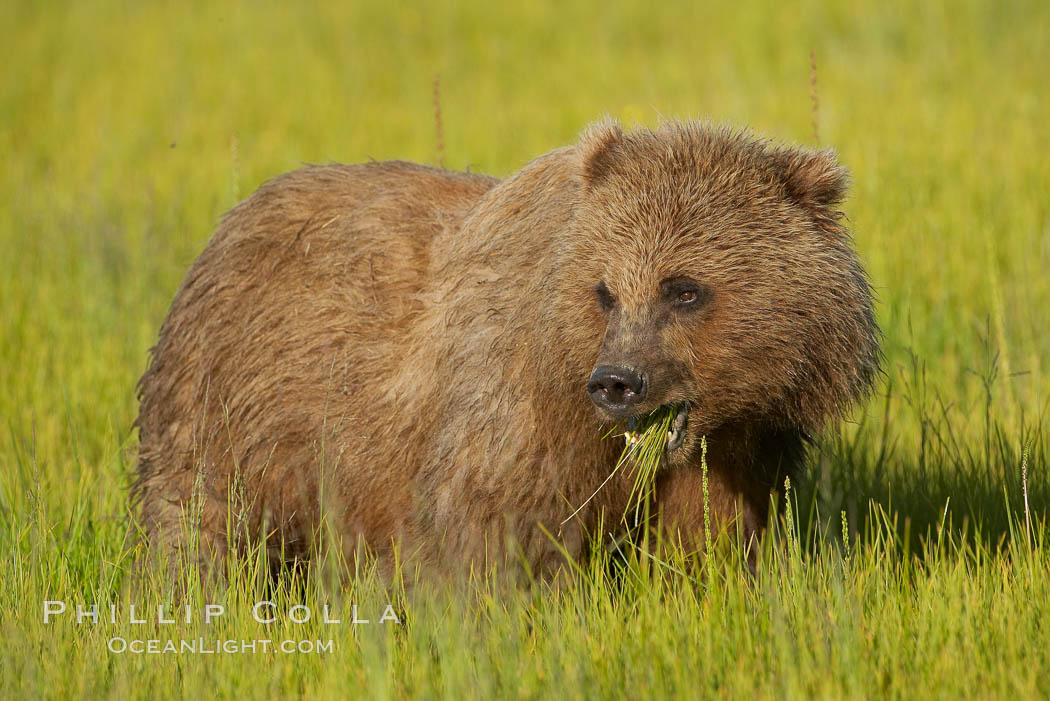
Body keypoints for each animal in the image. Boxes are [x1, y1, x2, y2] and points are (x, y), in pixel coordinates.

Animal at [135, 119, 881, 579]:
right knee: (200, 523)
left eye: (684, 289)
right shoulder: (519, 406)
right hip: (233, 405)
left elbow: (708, 544)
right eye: (604, 290)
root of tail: (228, 221)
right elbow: (490, 533)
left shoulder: (739, 446)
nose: (618, 381)